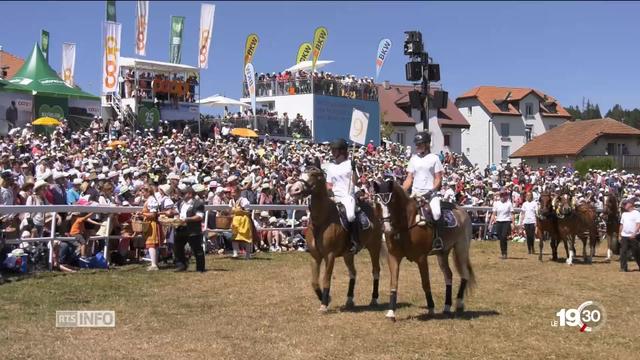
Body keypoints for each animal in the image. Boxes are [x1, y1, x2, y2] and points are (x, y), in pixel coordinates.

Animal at [288, 166, 382, 312]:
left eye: (313, 174)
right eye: (301, 173)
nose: (294, 189)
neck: (322, 220)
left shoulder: (330, 255)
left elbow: (326, 279)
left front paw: (324, 304)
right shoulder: (315, 256)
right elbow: (314, 282)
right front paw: (326, 299)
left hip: (374, 248)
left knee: (376, 271)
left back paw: (374, 299)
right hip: (348, 254)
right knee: (353, 273)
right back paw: (349, 299)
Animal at [370, 179, 476, 322]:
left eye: (391, 202)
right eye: (377, 203)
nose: (386, 228)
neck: (406, 224)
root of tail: (462, 211)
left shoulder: (421, 258)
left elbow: (426, 283)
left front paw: (431, 308)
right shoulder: (393, 257)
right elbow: (394, 283)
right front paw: (391, 312)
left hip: (461, 248)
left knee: (464, 274)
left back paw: (459, 304)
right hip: (442, 254)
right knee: (448, 275)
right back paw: (447, 307)